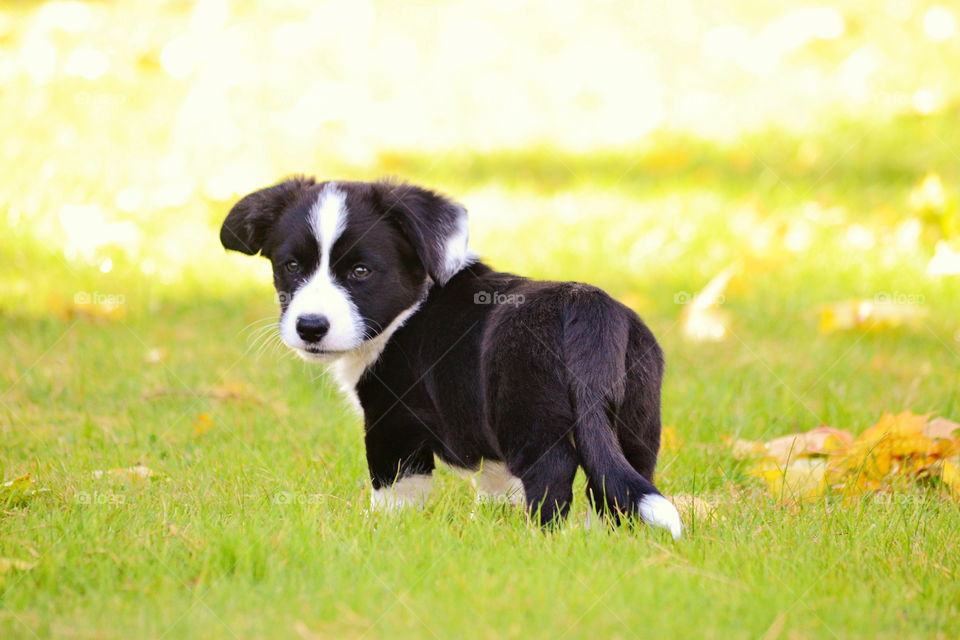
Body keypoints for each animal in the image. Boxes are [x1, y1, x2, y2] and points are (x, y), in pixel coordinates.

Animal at [219, 178, 684, 536]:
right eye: (292, 266)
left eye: (360, 272)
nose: (310, 326)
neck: (410, 309)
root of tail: (588, 308)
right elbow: (497, 482)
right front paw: (489, 524)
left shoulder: (393, 421)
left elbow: (396, 487)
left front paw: (384, 529)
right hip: (634, 417)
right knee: (621, 475)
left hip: (529, 413)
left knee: (553, 470)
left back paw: (541, 537)